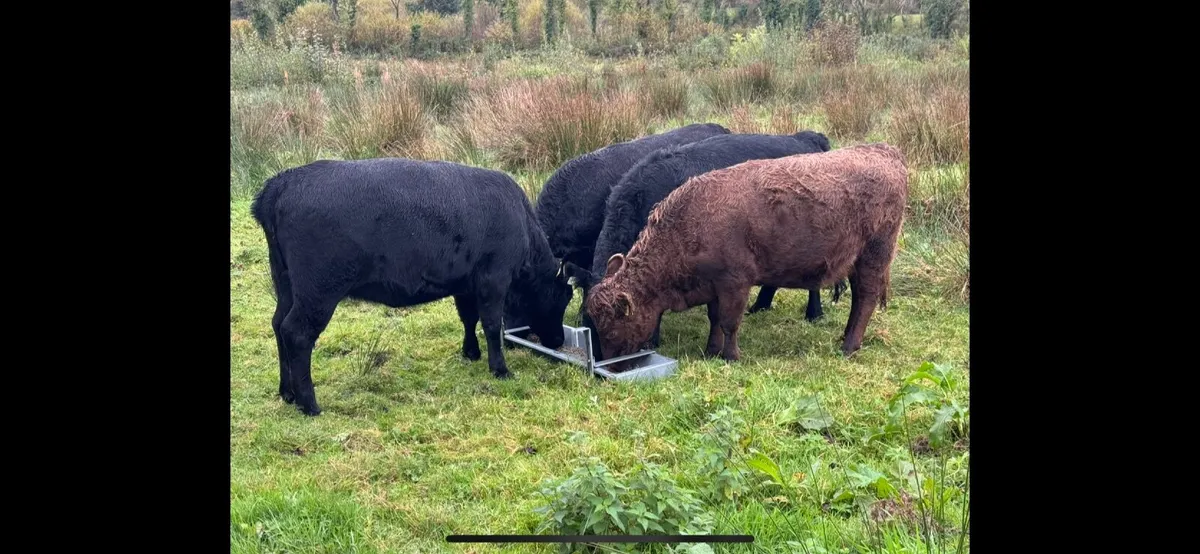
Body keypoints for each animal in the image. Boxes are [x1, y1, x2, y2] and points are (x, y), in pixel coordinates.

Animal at [251, 158, 574, 416]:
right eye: (563, 298)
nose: (559, 340)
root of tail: (284, 182)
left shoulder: (465, 284)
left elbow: (469, 319)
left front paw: (470, 352)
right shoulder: (494, 279)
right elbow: (492, 325)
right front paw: (500, 369)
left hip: (286, 284)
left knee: (278, 325)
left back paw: (287, 392)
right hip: (318, 291)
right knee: (296, 333)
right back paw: (309, 404)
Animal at [583, 143, 908, 368]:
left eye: (611, 330)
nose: (610, 364)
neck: (689, 223)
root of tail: (884, 151)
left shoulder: (735, 283)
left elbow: (729, 322)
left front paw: (730, 355)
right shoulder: (713, 286)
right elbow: (715, 319)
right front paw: (711, 350)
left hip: (873, 257)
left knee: (865, 299)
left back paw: (849, 346)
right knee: (858, 300)